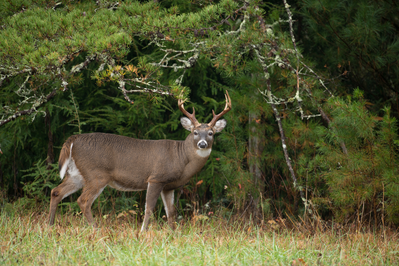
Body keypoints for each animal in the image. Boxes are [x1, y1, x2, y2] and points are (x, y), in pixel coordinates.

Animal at [49, 91, 231, 231]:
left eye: (211, 133)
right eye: (195, 132)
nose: (202, 144)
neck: (181, 158)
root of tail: (73, 139)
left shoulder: (169, 186)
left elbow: (170, 212)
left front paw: (173, 233)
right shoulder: (156, 178)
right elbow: (149, 208)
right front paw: (143, 231)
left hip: (77, 173)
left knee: (56, 191)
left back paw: (50, 226)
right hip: (96, 174)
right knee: (83, 201)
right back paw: (96, 229)